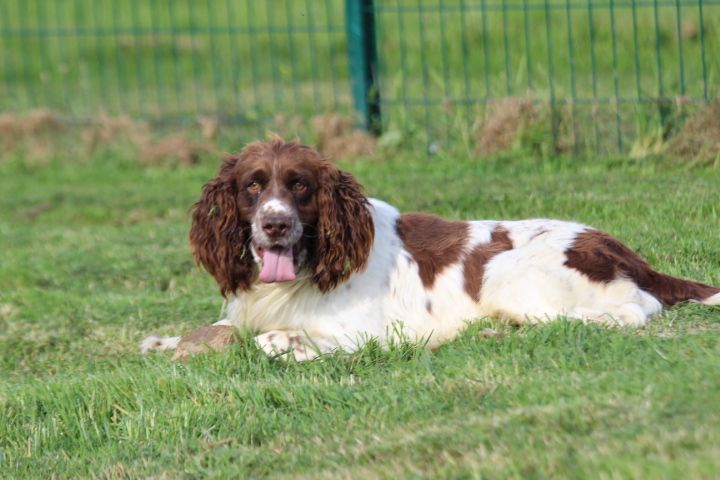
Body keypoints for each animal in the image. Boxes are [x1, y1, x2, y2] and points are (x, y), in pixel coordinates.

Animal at [142, 139, 720, 360]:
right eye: (253, 187)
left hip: (510, 273)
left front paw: (288, 343)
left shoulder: (369, 333)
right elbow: (214, 330)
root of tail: (625, 251)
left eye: (301, 185)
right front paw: (165, 341)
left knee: (634, 310)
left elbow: (280, 339)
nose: (276, 225)